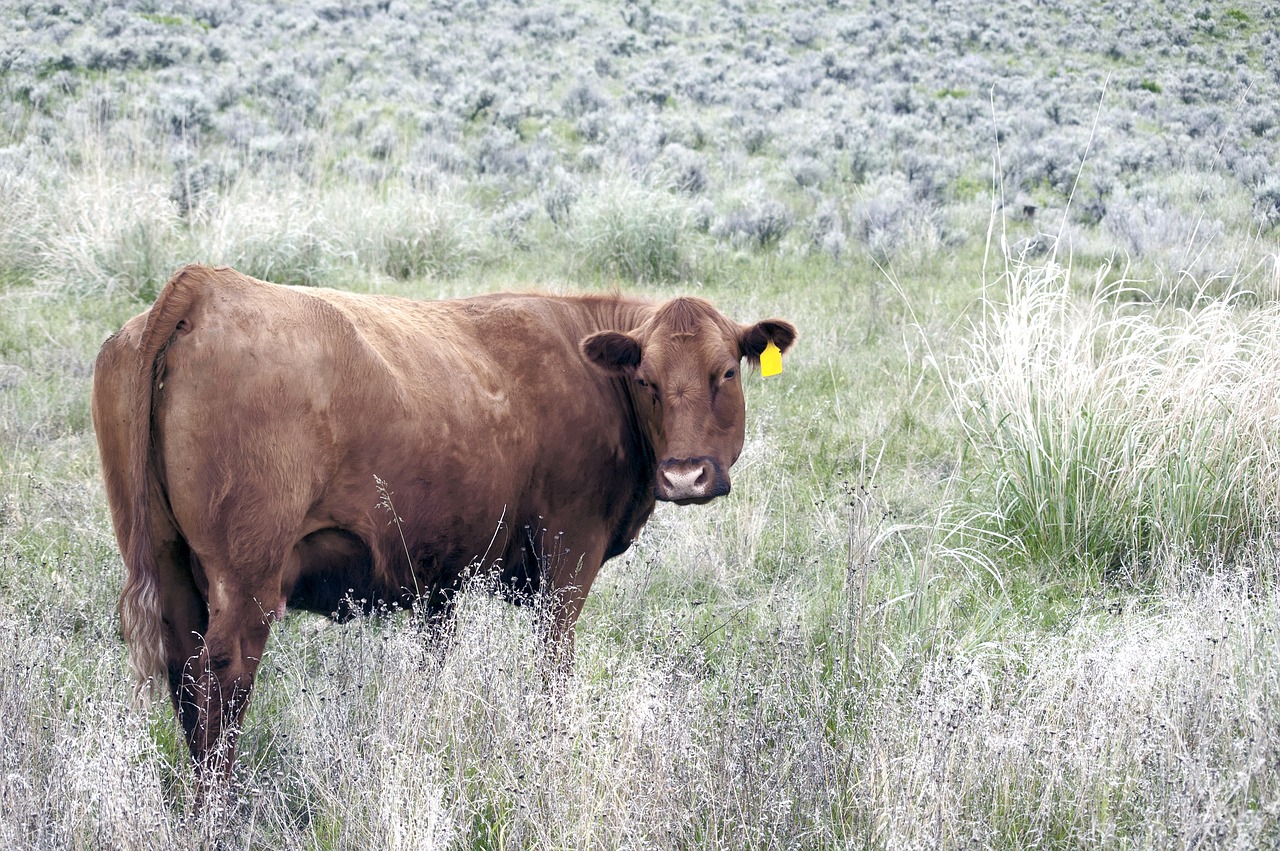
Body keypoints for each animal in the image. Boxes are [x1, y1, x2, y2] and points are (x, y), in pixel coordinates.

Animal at [90, 263, 793, 788]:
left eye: (724, 372)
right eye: (646, 379)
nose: (685, 476)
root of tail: (206, 287)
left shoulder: (440, 579)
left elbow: (434, 667)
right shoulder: (569, 557)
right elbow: (553, 671)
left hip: (167, 566)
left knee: (184, 675)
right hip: (247, 580)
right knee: (223, 682)